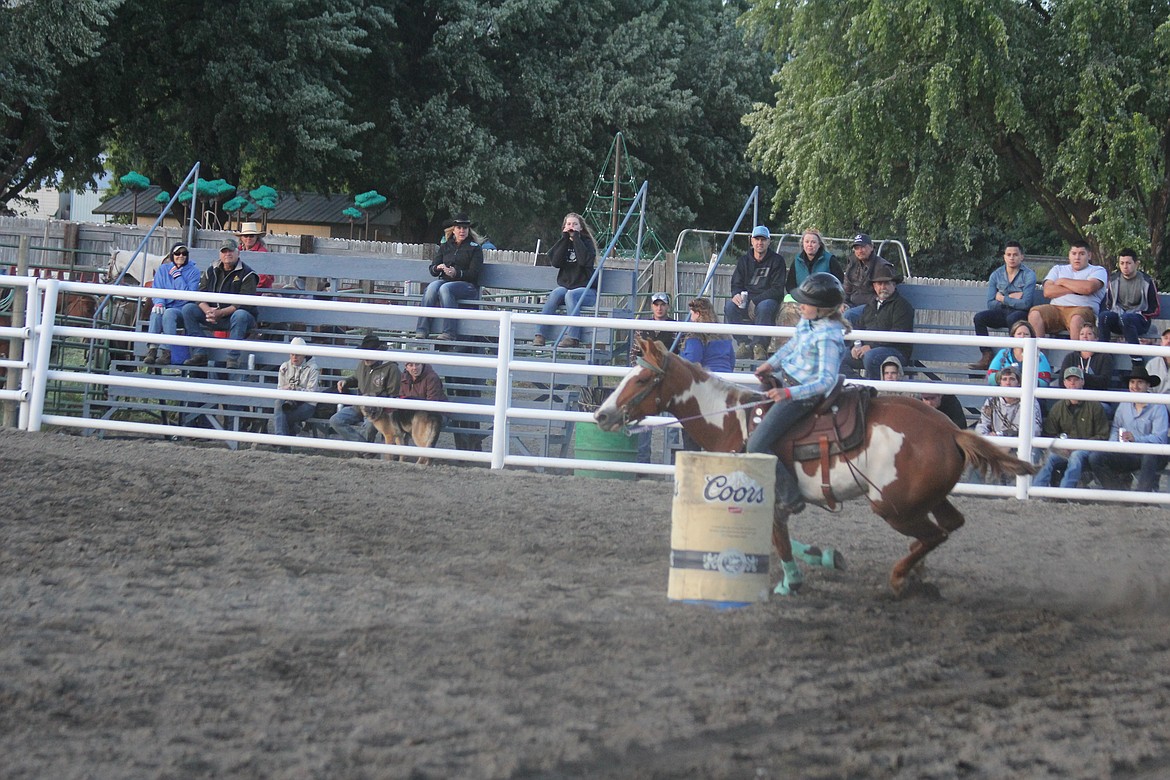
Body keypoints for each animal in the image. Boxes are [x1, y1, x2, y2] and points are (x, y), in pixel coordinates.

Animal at [594, 336, 1034, 598]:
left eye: (640, 380)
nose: (601, 415)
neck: (733, 422)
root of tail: (950, 432)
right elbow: (789, 539)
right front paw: (824, 557)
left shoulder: (765, 499)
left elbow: (781, 542)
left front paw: (791, 582)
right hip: (925, 499)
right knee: (948, 526)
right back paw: (916, 571)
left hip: (893, 507)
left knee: (933, 534)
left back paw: (899, 576)